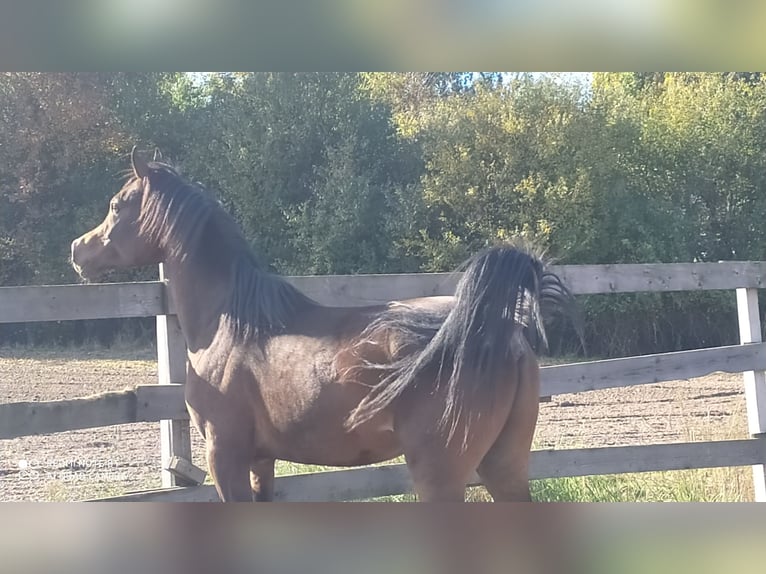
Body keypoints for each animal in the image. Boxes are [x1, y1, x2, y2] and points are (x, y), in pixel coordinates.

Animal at [70, 147, 579, 502]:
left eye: (116, 206)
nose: (78, 250)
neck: (226, 325)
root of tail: (497, 332)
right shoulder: (261, 460)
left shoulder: (224, 454)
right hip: (504, 465)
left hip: (441, 474)